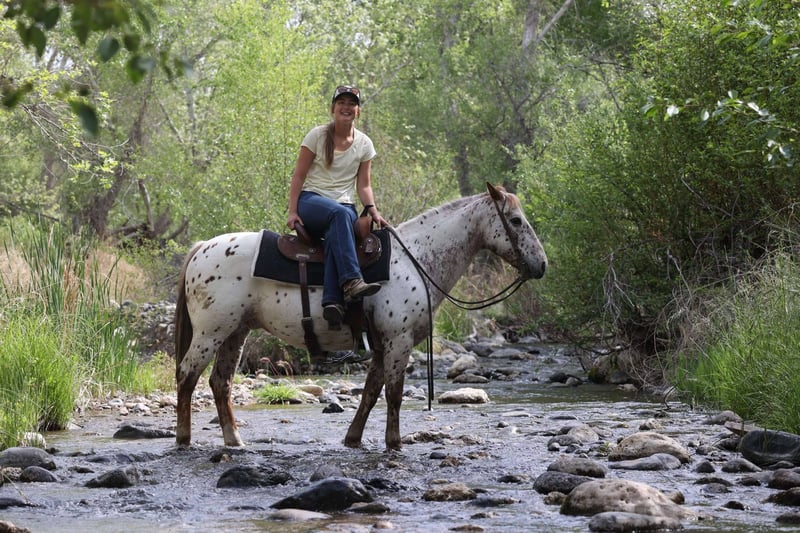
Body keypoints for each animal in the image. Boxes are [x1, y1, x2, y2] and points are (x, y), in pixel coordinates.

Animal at [174, 182, 547, 450]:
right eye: (515, 220)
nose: (541, 265)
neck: (414, 260)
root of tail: (202, 247)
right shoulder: (398, 341)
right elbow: (393, 392)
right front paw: (394, 444)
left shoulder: (382, 344)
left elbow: (371, 391)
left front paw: (353, 438)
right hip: (210, 333)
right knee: (187, 375)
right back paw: (183, 438)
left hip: (235, 333)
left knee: (220, 382)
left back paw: (234, 440)